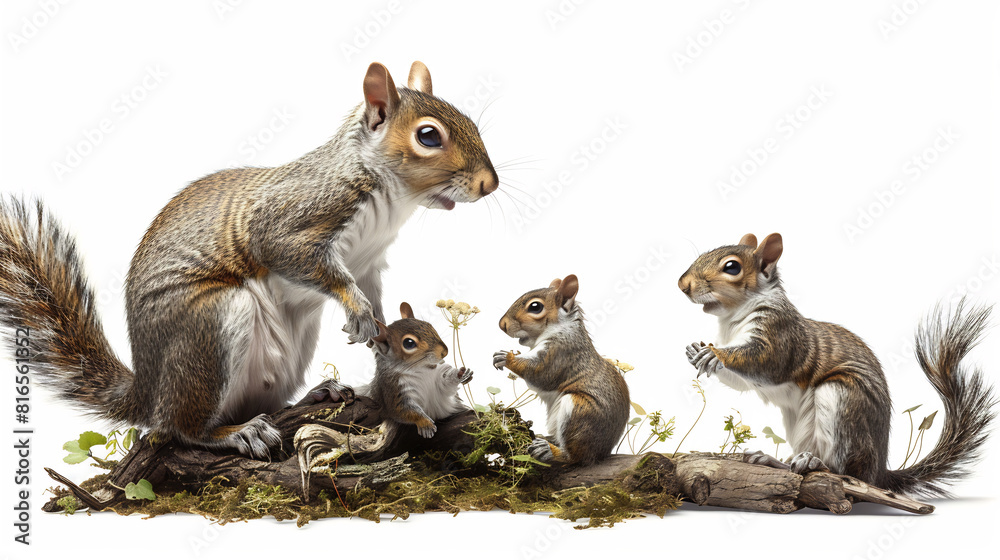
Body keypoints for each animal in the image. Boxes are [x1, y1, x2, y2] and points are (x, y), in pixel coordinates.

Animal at [360, 302, 472, 439]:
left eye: (429, 325)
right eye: (409, 343)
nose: (444, 352)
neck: (421, 368)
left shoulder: (437, 378)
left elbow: (446, 385)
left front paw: (461, 374)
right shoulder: (394, 390)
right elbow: (406, 410)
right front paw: (426, 424)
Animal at [492, 275, 630, 465]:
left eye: (535, 307)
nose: (502, 324)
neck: (560, 329)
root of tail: (602, 453)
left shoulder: (560, 354)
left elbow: (539, 374)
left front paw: (506, 357)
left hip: (580, 412)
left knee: (575, 457)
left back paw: (551, 452)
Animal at [678, 232, 996, 497]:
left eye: (731, 267)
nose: (683, 285)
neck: (732, 320)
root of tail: (879, 471)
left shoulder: (782, 337)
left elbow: (765, 361)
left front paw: (715, 355)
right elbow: (740, 381)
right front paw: (695, 350)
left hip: (841, 397)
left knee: (844, 471)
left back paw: (812, 463)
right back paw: (774, 459)